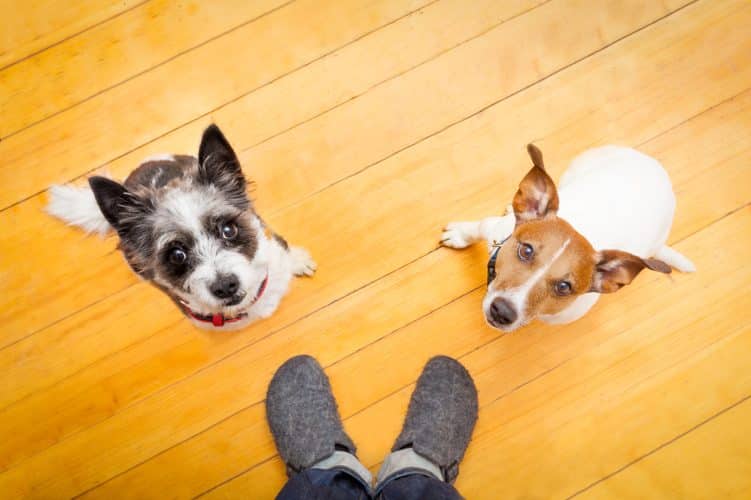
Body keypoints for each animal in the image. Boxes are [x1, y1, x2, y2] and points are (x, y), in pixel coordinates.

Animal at [444, 145, 696, 332]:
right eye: (526, 250)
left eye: (564, 287)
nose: (502, 312)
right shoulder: (493, 230)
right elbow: (475, 228)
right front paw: (459, 234)